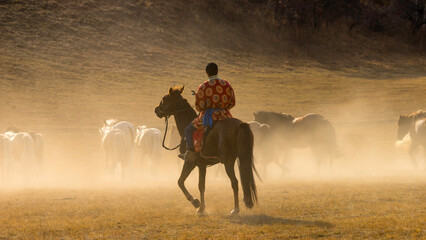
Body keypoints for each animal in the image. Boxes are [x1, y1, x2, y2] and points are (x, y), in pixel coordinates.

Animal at [155, 86, 258, 216]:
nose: (156, 110)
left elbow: (188, 183)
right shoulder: (200, 165)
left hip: (228, 162)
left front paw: (198, 205)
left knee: (235, 182)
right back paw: (246, 201)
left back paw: (235, 209)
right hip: (241, 157)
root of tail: (240, 124)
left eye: (165, 98)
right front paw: (199, 204)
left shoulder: (192, 163)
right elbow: (191, 183)